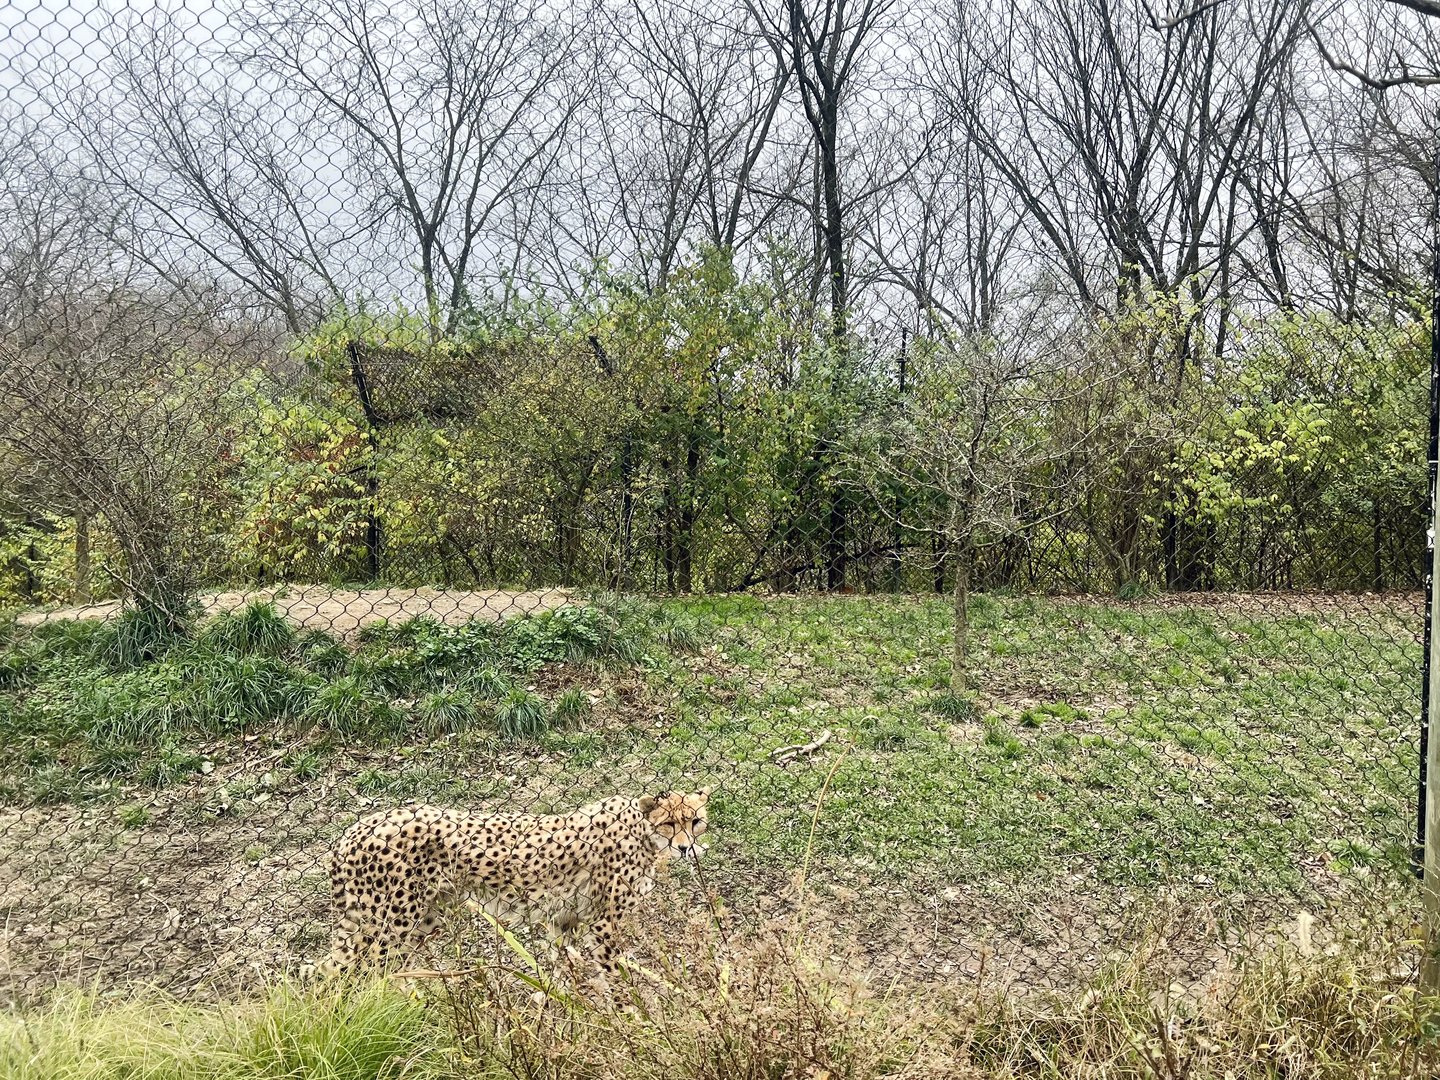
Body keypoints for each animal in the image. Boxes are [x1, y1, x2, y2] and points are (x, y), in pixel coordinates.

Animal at [323, 788, 711, 975]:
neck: (642, 831)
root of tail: (352, 830)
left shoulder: (564, 918)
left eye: (695, 821)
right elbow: (616, 977)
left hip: (418, 922)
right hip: (390, 928)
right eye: (669, 824)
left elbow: (565, 967)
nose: (685, 847)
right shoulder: (603, 923)